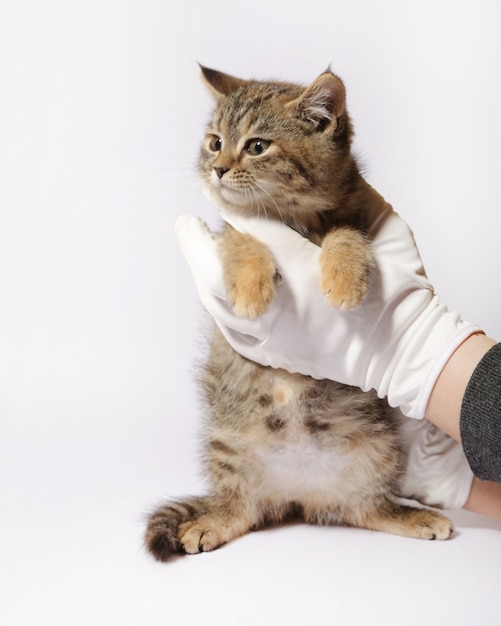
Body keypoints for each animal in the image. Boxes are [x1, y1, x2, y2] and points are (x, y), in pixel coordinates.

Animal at [145, 67, 454, 560]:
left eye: (256, 146)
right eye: (215, 142)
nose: (217, 168)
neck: (294, 218)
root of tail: (298, 495)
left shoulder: (354, 217)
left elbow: (346, 235)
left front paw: (346, 278)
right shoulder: (229, 229)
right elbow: (243, 238)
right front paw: (250, 290)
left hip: (377, 449)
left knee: (365, 507)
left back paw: (410, 516)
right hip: (227, 446)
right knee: (242, 507)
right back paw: (211, 521)